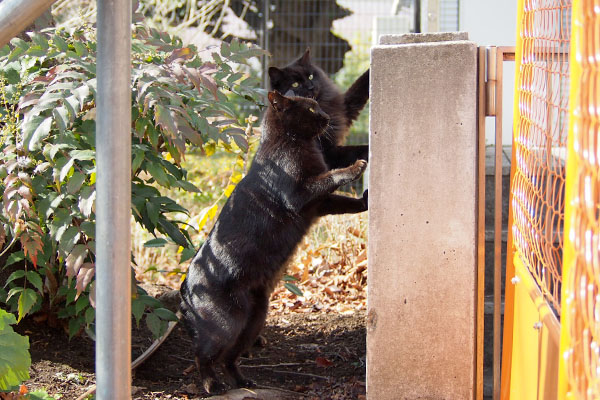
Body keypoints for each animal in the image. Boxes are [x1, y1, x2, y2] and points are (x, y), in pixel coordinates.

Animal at [178, 90, 368, 394]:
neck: (292, 145)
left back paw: (242, 381)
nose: (326, 117)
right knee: (202, 355)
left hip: (254, 320)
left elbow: (346, 203)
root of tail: (183, 290)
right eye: (311, 109)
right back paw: (212, 385)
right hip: (227, 324)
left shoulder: (321, 204)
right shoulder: (300, 194)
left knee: (229, 358)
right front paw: (355, 167)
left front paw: (365, 199)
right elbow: (330, 176)